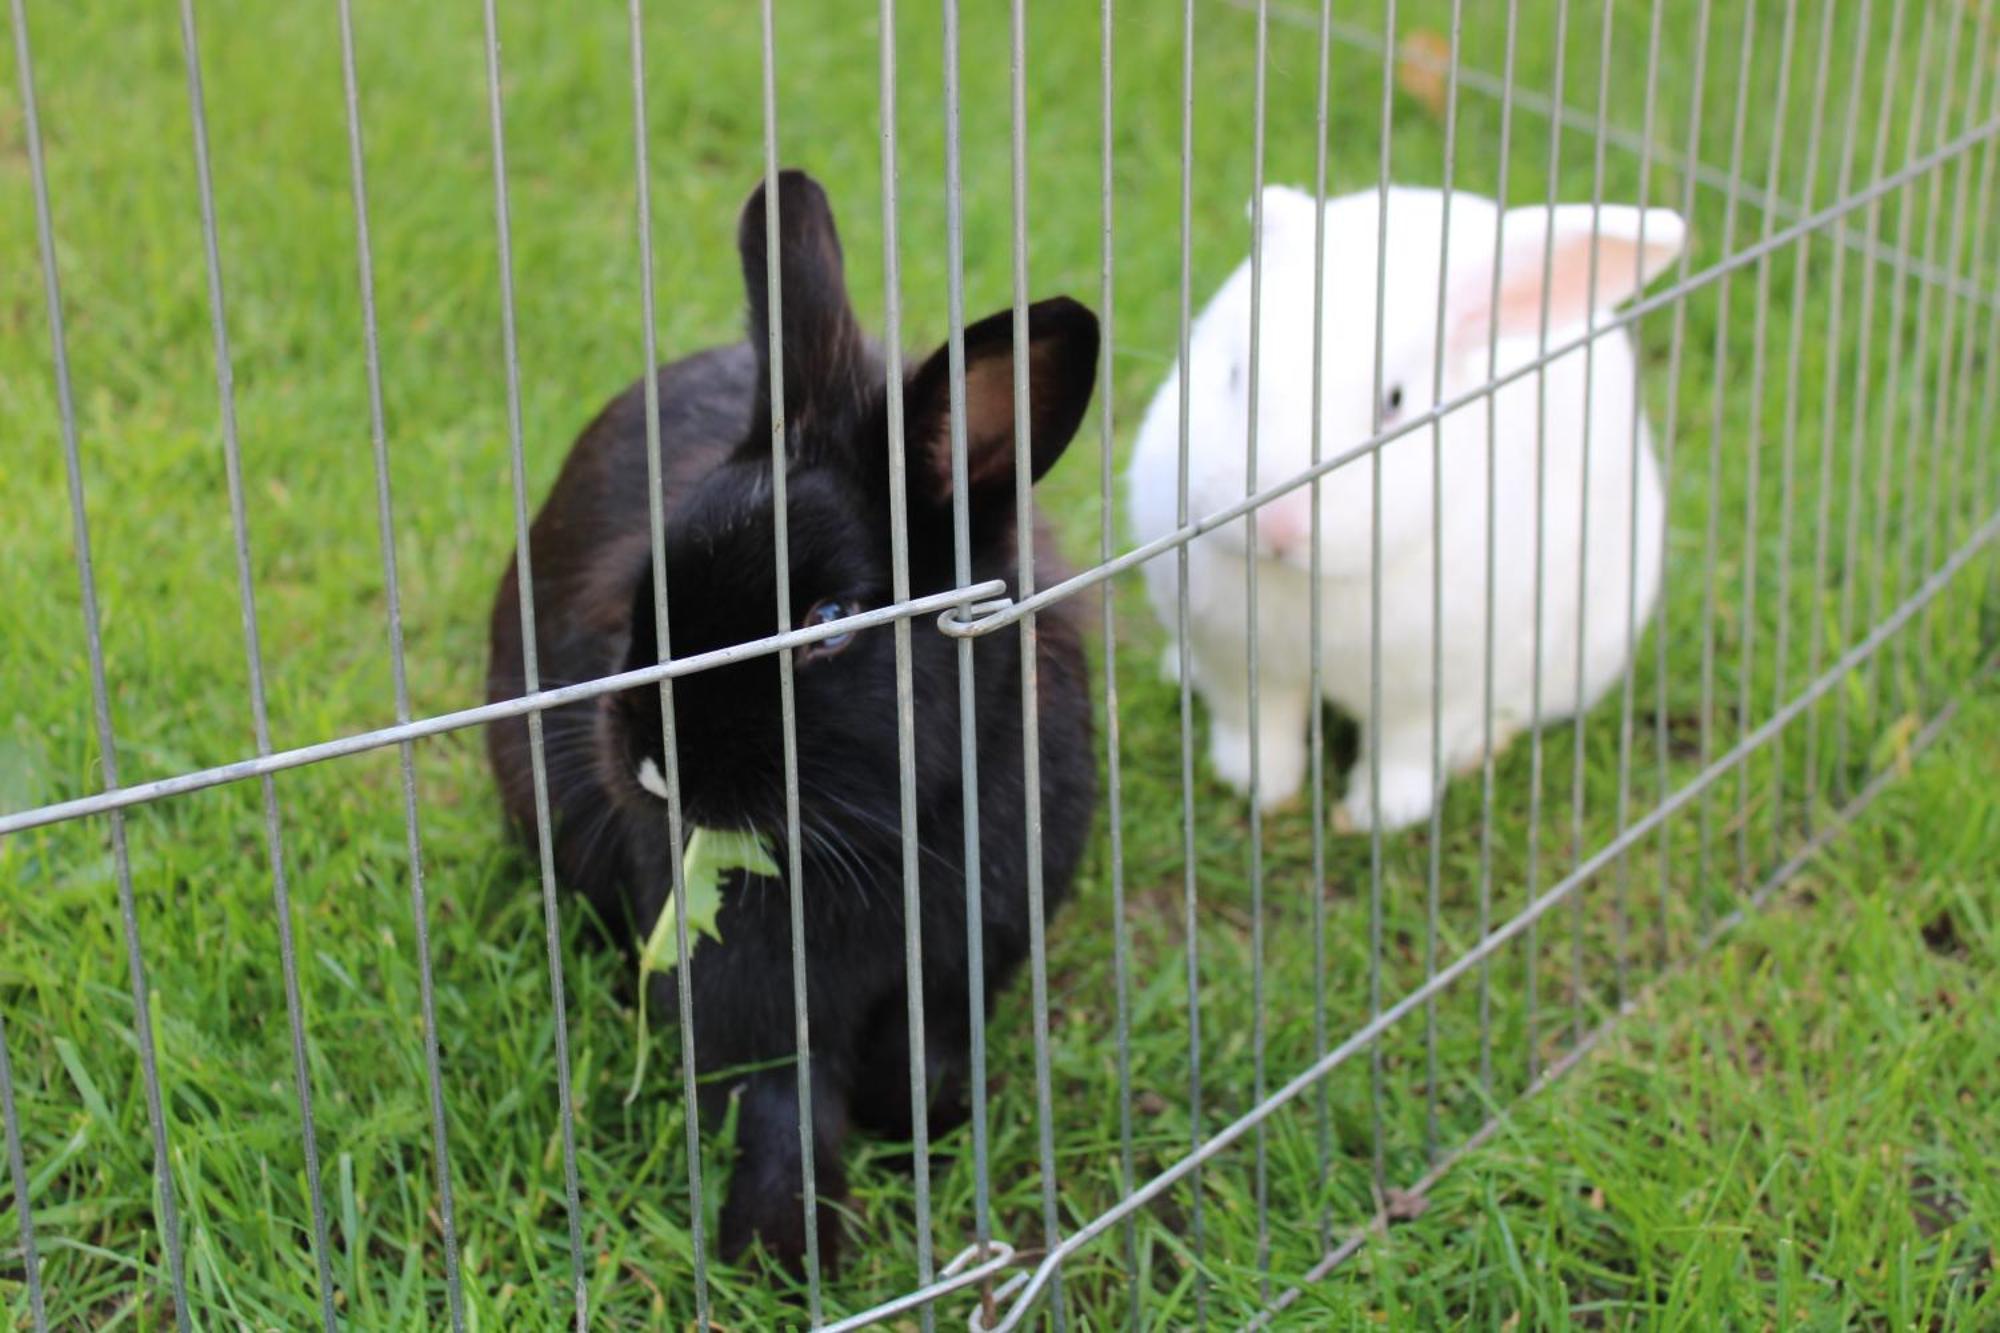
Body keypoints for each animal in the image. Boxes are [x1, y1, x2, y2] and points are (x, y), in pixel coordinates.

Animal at [490, 171, 1104, 1272]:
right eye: (654, 573)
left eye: (827, 622)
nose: (650, 763)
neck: (881, 835)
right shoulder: (748, 1000)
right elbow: (779, 1104)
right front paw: (786, 1249)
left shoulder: (967, 967)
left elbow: (923, 1064)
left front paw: (919, 1125)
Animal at [1128, 184, 1688, 832]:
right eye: (1237, 373)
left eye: (1394, 401)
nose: (1278, 522)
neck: (1307, 584)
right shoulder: (1236, 664)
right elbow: (1255, 730)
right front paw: (1258, 787)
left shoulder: (1438, 687)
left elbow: (1406, 751)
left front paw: (1382, 814)